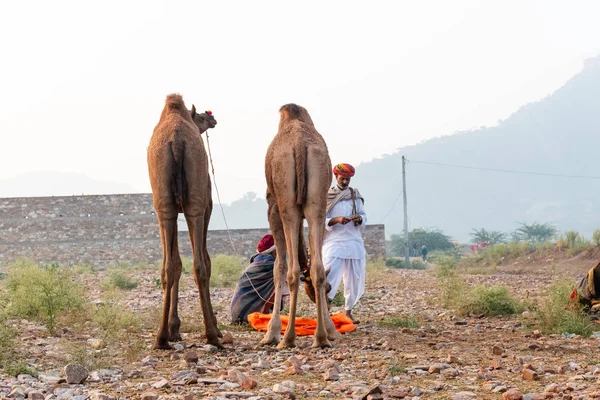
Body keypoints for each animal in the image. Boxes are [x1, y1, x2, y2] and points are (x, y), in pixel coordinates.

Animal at [146, 94, 221, 350]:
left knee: (168, 266)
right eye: (201, 117)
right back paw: (212, 334)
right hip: (195, 204)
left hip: (163, 204)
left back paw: (160, 338)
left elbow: (175, 264)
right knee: (200, 264)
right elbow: (206, 260)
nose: (213, 118)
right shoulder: (207, 206)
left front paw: (174, 330)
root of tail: (176, 141)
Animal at [260, 104, 340, 350]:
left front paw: (271, 332)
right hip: (317, 201)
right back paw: (321, 337)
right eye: (329, 289)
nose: (329, 303)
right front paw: (332, 330)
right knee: (317, 268)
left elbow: (278, 267)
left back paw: (287, 338)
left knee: (292, 271)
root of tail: (299, 145)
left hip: (287, 205)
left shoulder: (273, 208)